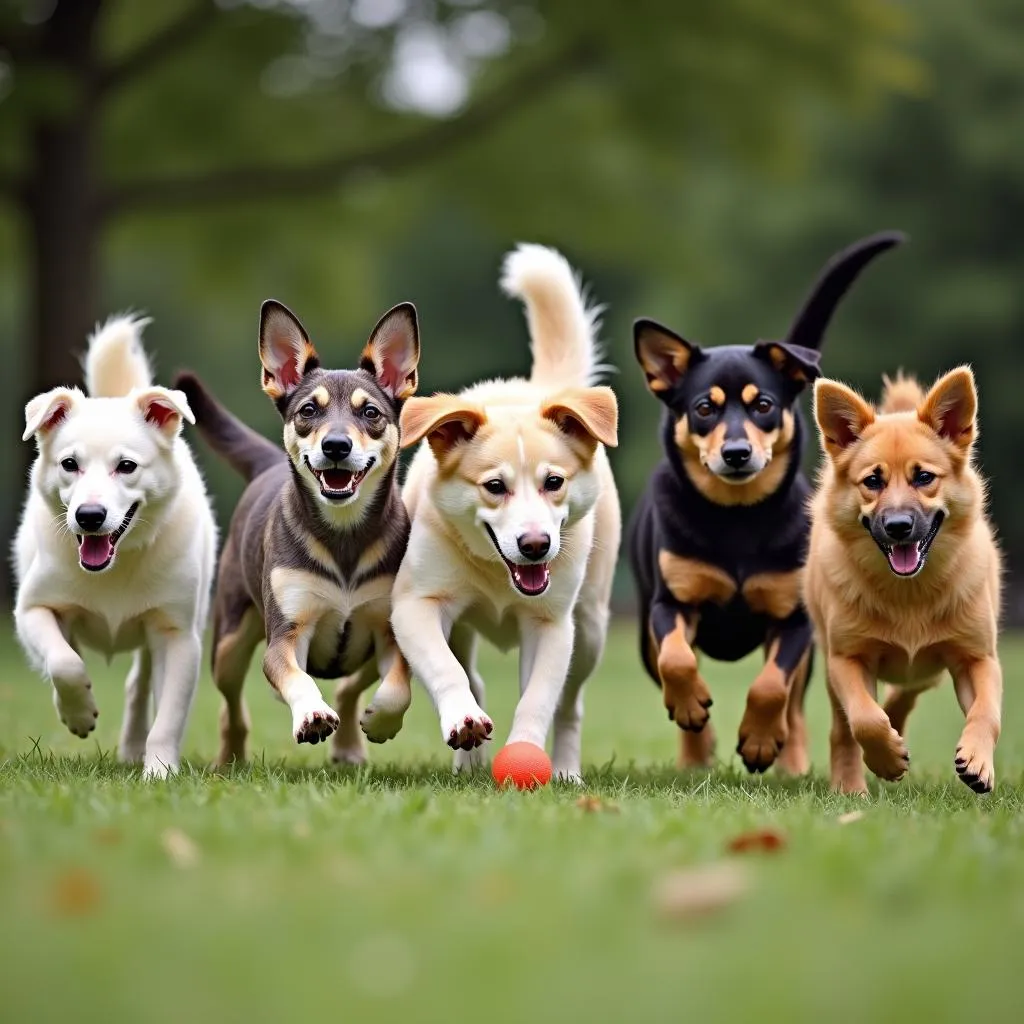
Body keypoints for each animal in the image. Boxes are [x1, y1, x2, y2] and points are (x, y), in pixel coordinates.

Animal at [14, 315, 216, 778]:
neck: (114, 566)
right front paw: (79, 713)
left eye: (126, 466)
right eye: (70, 464)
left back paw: (133, 747)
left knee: (139, 686)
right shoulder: (32, 609)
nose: (90, 515)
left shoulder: (178, 635)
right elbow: (65, 662)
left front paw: (159, 772)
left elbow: (169, 715)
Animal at [176, 299, 419, 765]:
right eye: (308, 411)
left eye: (370, 413)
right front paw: (311, 714)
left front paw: (381, 721)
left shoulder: (390, 630)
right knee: (233, 707)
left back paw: (349, 745)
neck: (344, 537)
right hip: (228, 643)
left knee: (349, 687)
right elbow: (297, 678)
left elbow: (398, 685)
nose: (336, 445)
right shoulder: (285, 635)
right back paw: (230, 757)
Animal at [389, 243, 614, 778]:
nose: (535, 545)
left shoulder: (552, 624)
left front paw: (526, 755)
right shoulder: (416, 602)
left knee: (570, 704)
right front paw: (463, 720)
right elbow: (445, 669)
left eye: (554, 482)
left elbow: (538, 698)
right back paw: (468, 759)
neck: (496, 574)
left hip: (591, 627)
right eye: (495, 486)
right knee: (472, 674)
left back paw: (566, 770)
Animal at [626, 232, 901, 774]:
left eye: (764, 405)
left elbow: (773, 686)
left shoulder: (793, 619)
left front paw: (758, 740)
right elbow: (677, 659)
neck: (737, 519)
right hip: (645, 635)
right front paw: (692, 707)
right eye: (704, 408)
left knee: (794, 705)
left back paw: (789, 760)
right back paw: (695, 754)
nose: (736, 452)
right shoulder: (672, 604)